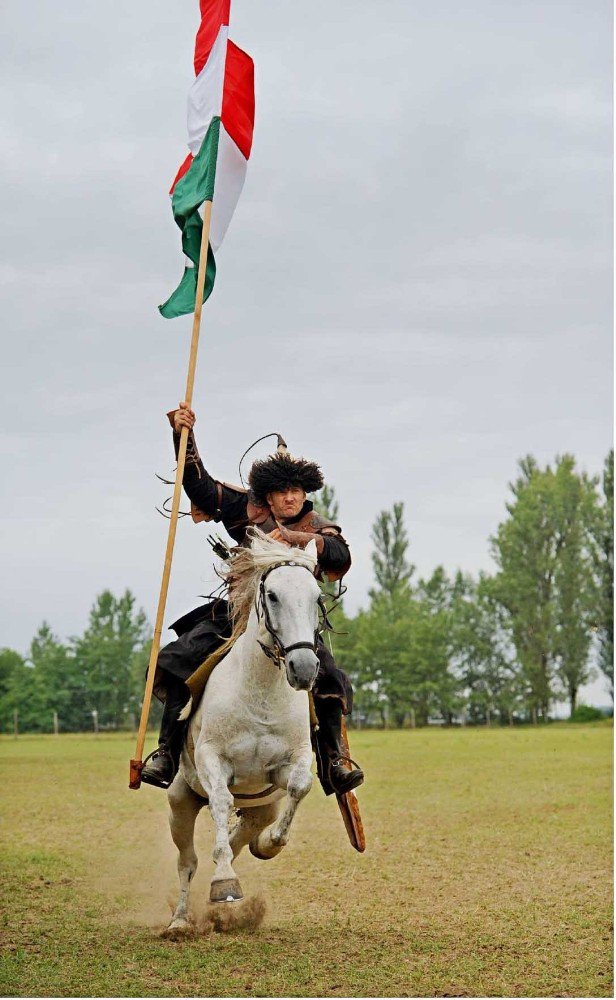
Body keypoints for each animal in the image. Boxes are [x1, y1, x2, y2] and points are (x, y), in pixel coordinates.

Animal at [166, 532, 324, 928]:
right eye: (273, 595)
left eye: (317, 597)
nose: (304, 668)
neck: (260, 694)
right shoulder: (212, 759)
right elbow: (222, 800)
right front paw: (223, 882)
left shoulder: (287, 765)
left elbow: (300, 785)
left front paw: (269, 845)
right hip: (180, 801)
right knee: (187, 863)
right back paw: (180, 920)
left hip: (259, 809)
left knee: (237, 840)